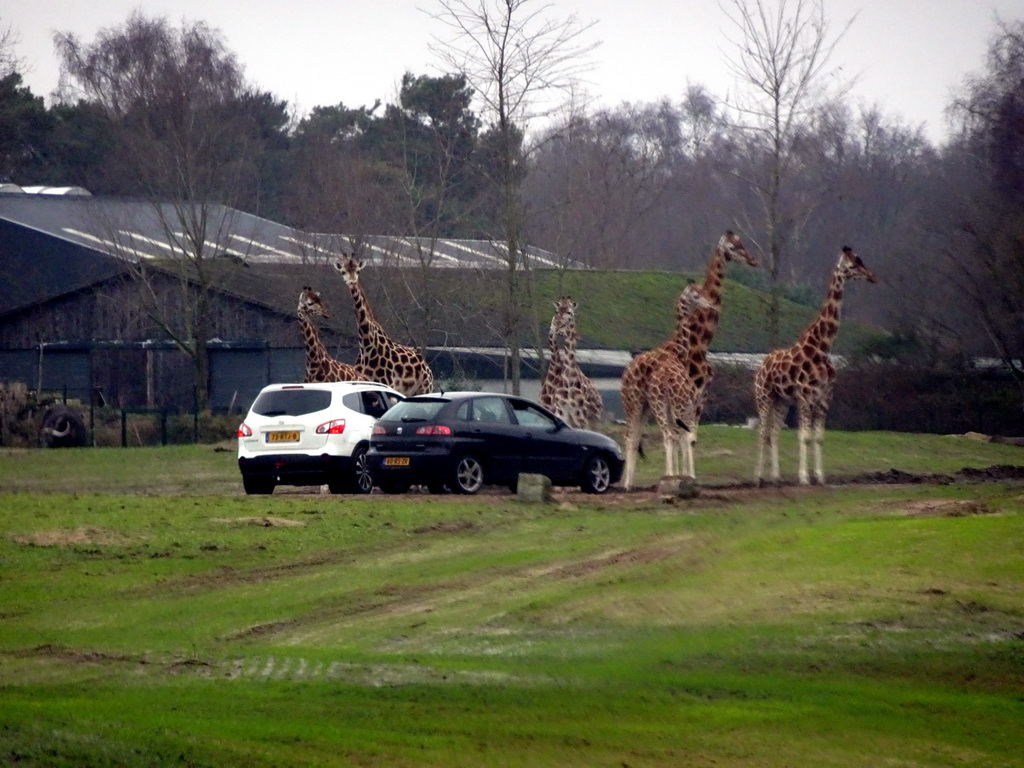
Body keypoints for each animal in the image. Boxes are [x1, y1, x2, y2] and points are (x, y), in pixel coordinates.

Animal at [331, 257, 436, 393]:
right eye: (343, 271)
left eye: (358, 270)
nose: (352, 281)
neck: (366, 346)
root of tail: (427, 368)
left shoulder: (386, 383)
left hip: (424, 388)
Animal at [540, 296, 602, 430]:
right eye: (557, 312)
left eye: (570, 313)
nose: (559, 328)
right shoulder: (561, 413)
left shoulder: (580, 416)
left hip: (594, 418)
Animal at [618, 231, 757, 489]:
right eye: (734, 246)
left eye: (742, 242)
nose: (754, 260)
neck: (700, 342)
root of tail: (625, 373)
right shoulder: (694, 396)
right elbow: (686, 437)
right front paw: (685, 477)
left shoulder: (696, 397)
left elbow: (685, 437)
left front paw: (683, 477)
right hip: (634, 402)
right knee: (633, 435)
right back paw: (628, 483)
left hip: (646, 406)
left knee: (639, 436)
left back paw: (630, 483)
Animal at [757, 246, 876, 487]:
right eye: (853, 264)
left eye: (861, 261)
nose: (872, 276)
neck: (822, 349)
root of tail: (761, 366)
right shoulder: (805, 396)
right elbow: (804, 436)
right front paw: (803, 477)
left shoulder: (824, 397)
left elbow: (818, 437)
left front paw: (819, 477)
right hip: (763, 396)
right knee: (762, 432)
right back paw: (759, 477)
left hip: (781, 400)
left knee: (773, 432)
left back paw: (775, 477)